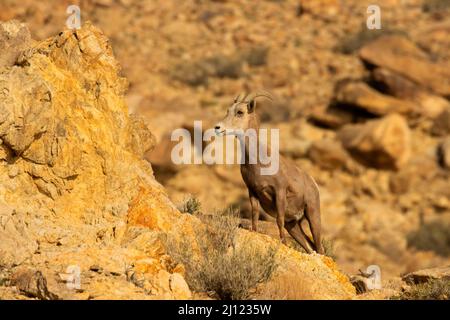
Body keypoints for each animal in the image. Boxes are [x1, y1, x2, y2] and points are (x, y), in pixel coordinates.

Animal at [214, 92, 324, 255]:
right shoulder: (252, 191)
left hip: (312, 214)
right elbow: (254, 215)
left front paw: (283, 243)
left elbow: (279, 219)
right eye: (228, 111)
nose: (217, 127)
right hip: (293, 225)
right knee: (310, 247)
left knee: (319, 247)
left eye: (240, 112)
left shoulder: (279, 191)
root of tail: (313, 184)